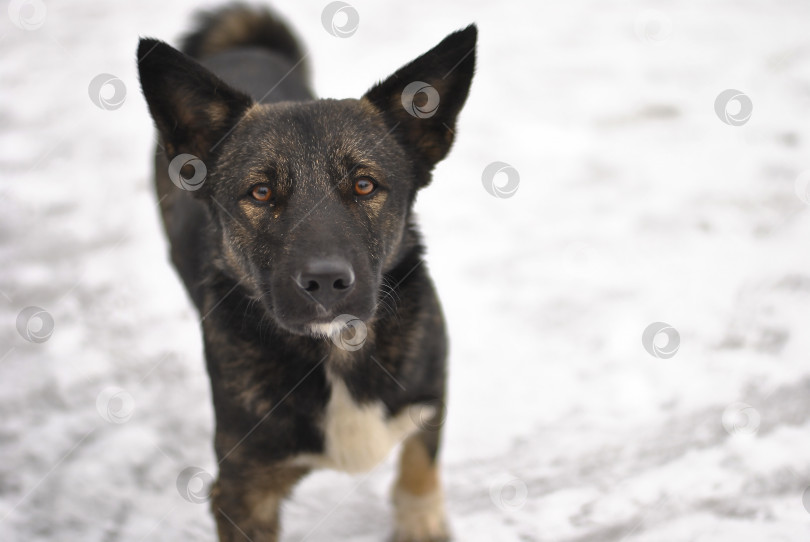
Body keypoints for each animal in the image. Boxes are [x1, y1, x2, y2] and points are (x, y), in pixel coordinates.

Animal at [135, 5, 470, 542]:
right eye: (260, 193)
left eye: (364, 185)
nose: (326, 282)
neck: (337, 349)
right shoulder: (243, 489)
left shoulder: (429, 397)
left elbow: (419, 468)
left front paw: (421, 521)